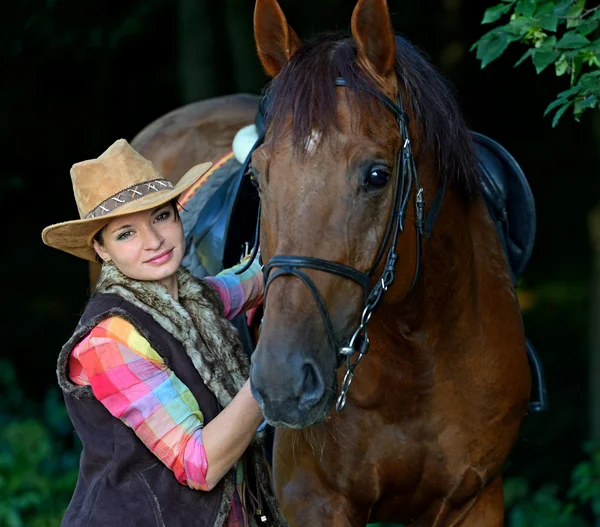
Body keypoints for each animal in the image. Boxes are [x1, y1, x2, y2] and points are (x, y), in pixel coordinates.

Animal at [108, 0, 528, 524]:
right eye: (258, 179)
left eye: (377, 175)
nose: (282, 383)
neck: (418, 358)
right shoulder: (312, 500)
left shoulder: (475, 499)